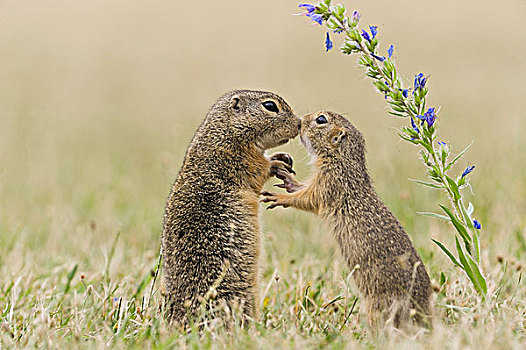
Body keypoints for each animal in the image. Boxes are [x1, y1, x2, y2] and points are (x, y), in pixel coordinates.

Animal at [161, 89, 302, 330]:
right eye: (270, 106)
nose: (300, 123)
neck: (225, 130)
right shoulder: (239, 158)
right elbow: (260, 169)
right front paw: (277, 163)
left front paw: (282, 157)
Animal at [264, 111, 434, 328]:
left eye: (321, 119)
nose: (300, 121)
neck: (342, 159)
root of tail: (423, 313)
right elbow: (302, 190)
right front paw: (287, 178)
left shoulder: (329, 183)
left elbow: (307, 198)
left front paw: (278, 197)